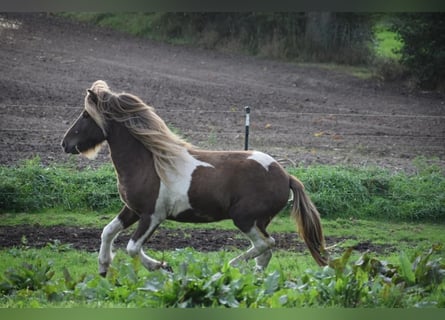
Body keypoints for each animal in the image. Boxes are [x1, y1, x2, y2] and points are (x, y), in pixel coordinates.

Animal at [61, 80, 326, 276]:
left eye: (86, 115)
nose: (65, 144)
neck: (149, 163)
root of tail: (286, 176)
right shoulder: (133, 210)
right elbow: (107, 231)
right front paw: (103, 268)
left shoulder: (153, 215)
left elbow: (132, 247)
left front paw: (163, 267)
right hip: (259, 221)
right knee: (266, 250)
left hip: (245, 218)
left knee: (265, 244)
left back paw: (230, 266)